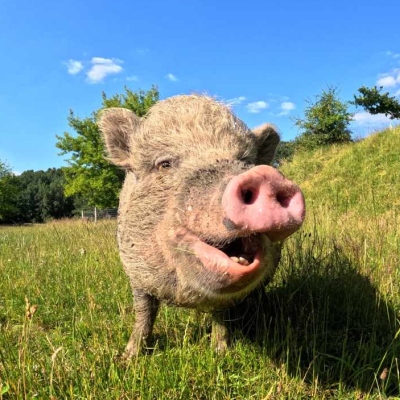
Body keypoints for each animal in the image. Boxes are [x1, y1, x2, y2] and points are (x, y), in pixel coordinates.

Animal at [98, 94, 304, 356]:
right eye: (164, 164)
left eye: (245, 161)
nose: (262, 177)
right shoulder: (135, 274)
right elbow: (144, 313)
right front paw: (129, 357)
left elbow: (220, 315)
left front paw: (221, 352)